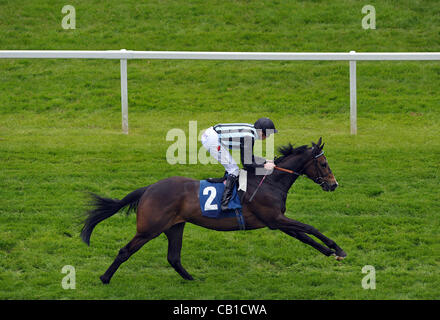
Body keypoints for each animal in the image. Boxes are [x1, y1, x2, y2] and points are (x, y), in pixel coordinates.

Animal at [81, 137, 346, 282]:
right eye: (324, 163)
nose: (334, 184)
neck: (270, 181)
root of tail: (148, 188)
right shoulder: (275, 218)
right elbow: (310, 228)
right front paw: (338, 249)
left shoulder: (276, 221)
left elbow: (305, 236)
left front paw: (329, 251)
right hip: (149, 229)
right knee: (125, 251)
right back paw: (105, 278)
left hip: (175, 226)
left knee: (173, 257)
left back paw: (192, 279)